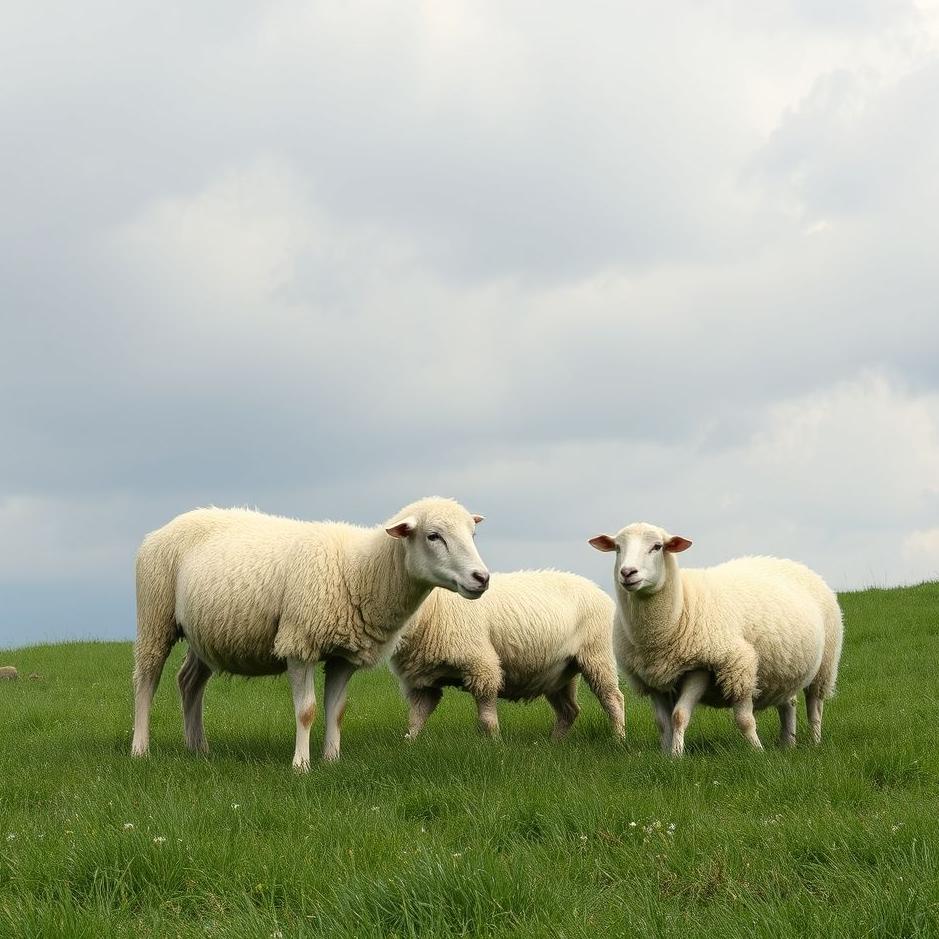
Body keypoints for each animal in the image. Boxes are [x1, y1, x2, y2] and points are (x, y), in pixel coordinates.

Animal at [132, 497, 489, 768]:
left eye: (473, 534)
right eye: (433, 536)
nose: (482, 578)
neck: (359, 570)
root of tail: (163, 528)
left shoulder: (344, 657)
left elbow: (337, 711)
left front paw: (332, 760)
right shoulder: (298, 643)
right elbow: (306, 711)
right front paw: (301, 766)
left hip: (205, 633)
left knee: (189, 681)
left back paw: (198, 748)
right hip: (155, 614)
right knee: (146, 680)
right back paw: (140, 749)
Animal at [390, 570, 625, 741]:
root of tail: (598, 590)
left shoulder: (482, 666)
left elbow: (486, 718)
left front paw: (495, 745)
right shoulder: (422, 685)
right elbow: (416, 718)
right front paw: (409, 744)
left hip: (598, 655)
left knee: (613, 699)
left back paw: (618, 739)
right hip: (559, 672)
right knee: (569, 711)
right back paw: (554, 743)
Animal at [589, 523, 843, 756]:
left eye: (657, 547)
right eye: (617, 548)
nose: (627, 572)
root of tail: (794, 563)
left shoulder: (717, 666)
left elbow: (702, 717)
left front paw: (757, 752)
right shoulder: (653, 679)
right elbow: (664, 722)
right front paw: (667, 755)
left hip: (825, 664)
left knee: (815, 705)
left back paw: (814, 741)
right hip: (785, 668)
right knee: (789, 702)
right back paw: (787, 743)